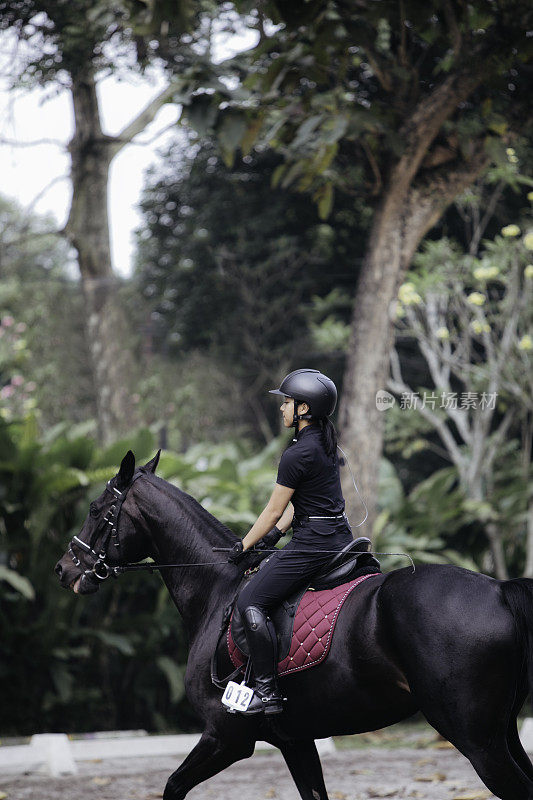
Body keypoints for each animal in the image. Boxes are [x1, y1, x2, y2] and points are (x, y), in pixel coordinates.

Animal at [55, 450, 533, 800]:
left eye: (96, 510)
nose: (65, 569)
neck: (217, 589)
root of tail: (497, 589)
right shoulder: (296, 742)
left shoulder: (226, 737)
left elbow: (172, 787)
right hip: (502, 733)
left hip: (478, 741)